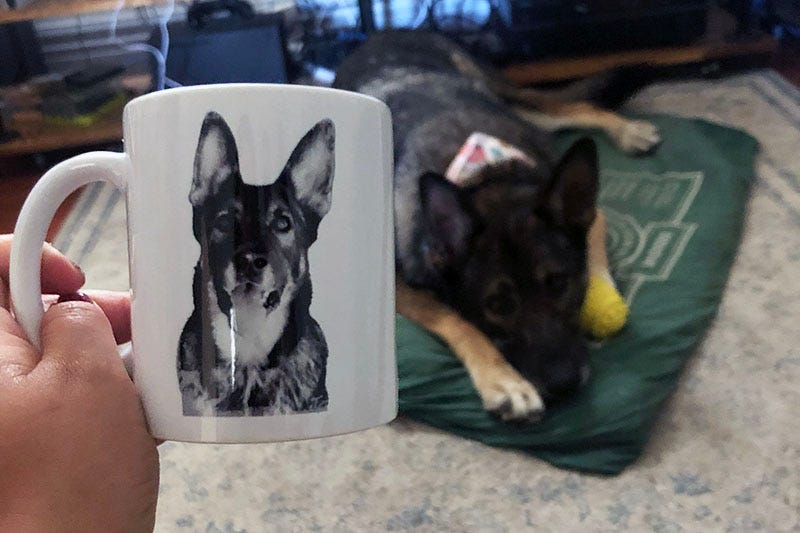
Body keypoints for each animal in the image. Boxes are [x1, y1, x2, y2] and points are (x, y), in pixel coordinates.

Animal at [334, 31, 660, 422]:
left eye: (560, 284)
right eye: (497, 305)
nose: (565, 383)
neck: (488, 175)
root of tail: (385, 33)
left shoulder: (584, 212)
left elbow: (595, 244)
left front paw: (601, 298)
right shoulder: (400, 284)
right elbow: (458, 322)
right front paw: (503, 381)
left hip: (510, 96)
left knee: (577, 107)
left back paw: (629, 130)